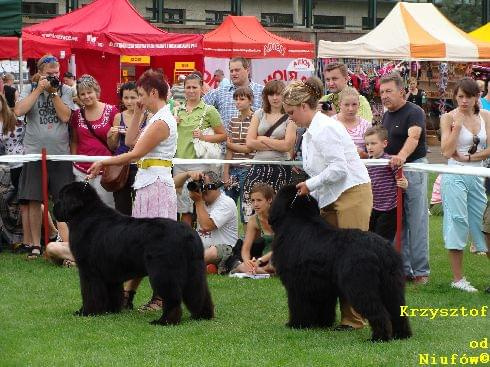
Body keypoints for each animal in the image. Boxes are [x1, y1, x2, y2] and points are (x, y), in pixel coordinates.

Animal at [53, 183, 212, 326]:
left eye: (61, 197)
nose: (54, 208)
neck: (85, 214)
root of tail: (188, 234)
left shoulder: (89, 271)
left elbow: (89, 293)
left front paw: (86, 312)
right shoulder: (110, 273)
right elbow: (112, 292)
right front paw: (110, 310)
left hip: (163, 272)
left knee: (172, 299)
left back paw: (164, 321)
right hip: (195, 270)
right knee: (199, 293)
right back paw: (202, 315)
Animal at [270, 185, 412, 344]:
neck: (298, 219)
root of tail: (381, 249)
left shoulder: (297, 284)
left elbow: (297, 306)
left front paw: (296, 324)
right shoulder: (323, 286)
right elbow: (324, 307)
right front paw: (322, 324)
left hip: (360, 286)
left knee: (378, 312)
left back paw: (378, 338)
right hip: (392, 285)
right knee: (397, 310)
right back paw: (401, 335)